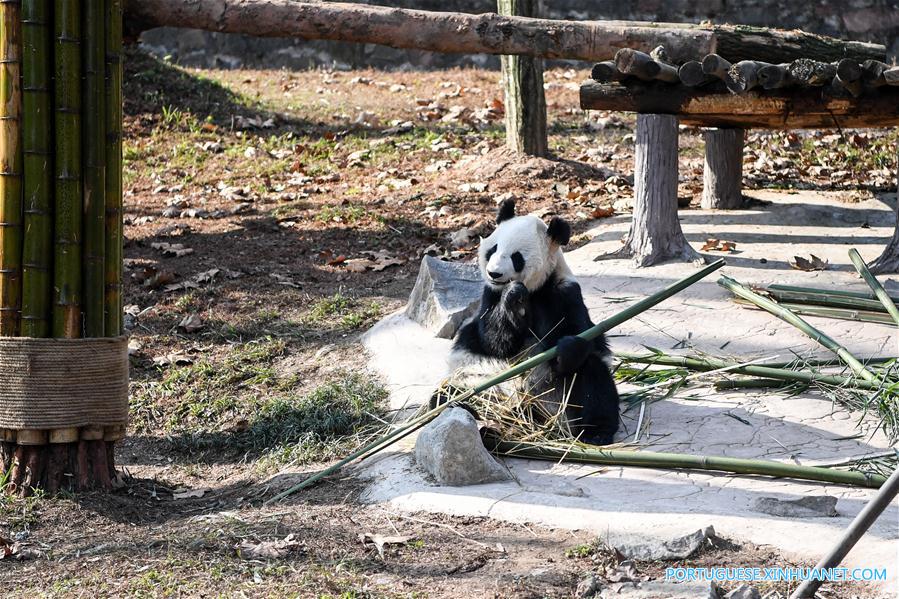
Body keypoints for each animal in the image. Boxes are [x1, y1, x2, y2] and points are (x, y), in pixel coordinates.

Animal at [440, 200, 624, 446]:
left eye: (516, 257)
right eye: (493, 249)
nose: (493, 273)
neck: (534, 290)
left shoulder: (563, 293)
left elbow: (578, 335)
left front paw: (567, 347)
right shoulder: (489, 296)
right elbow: (493, 341)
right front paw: (513, 297)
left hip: (555, 396)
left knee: (594, 379)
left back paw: (596, 432)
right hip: (477, 382)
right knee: (445, 394)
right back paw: (468, 412)